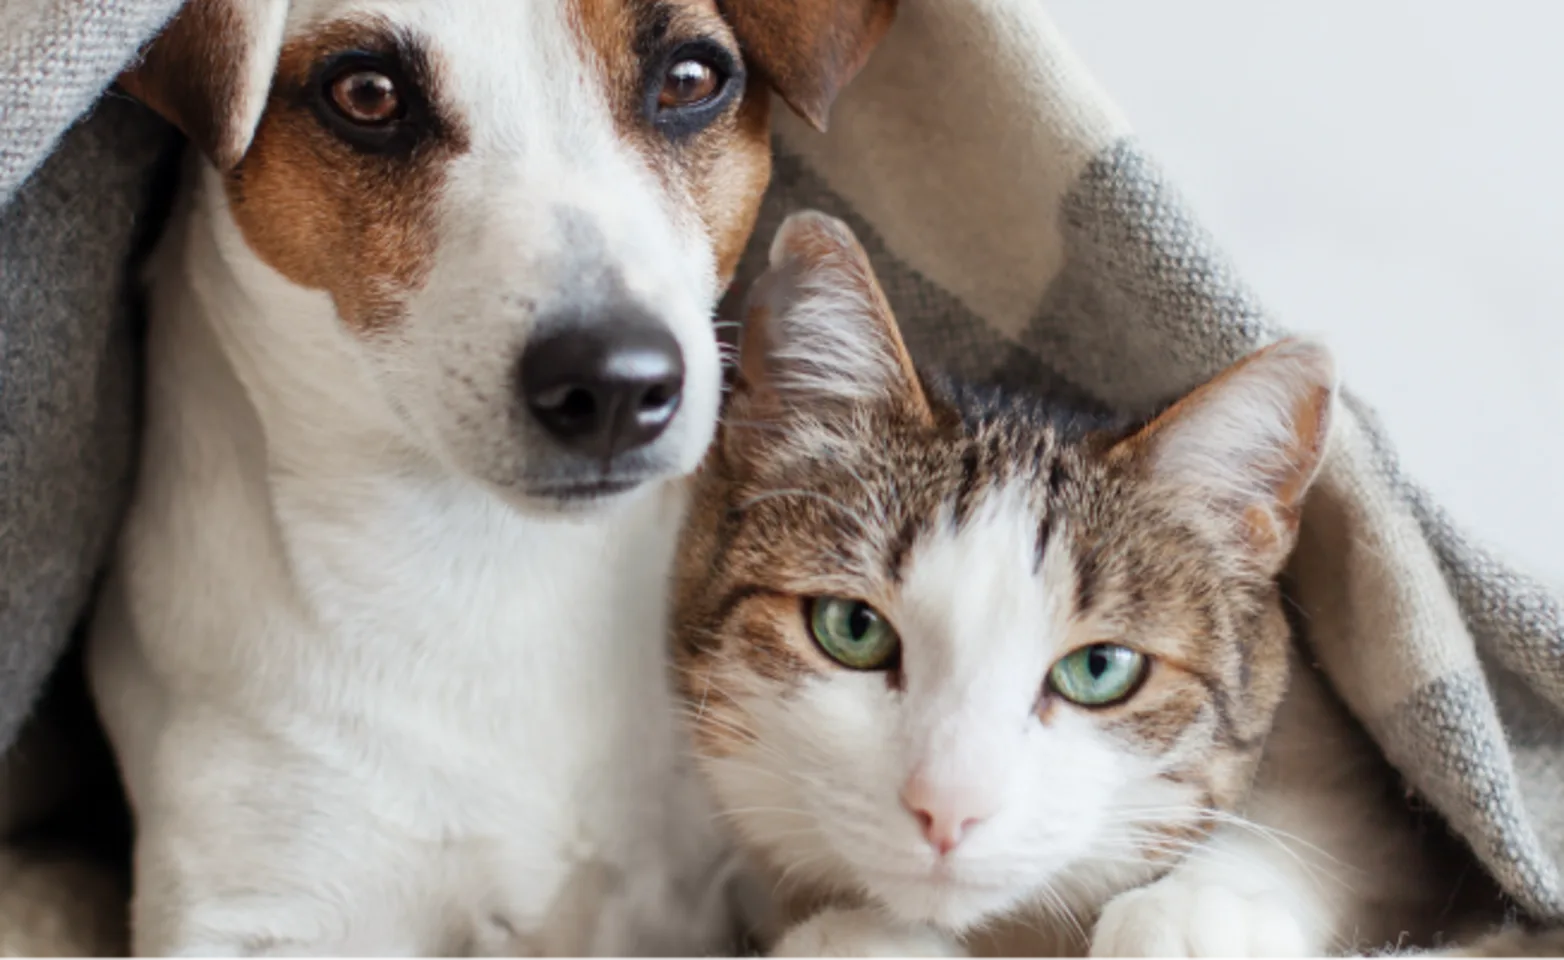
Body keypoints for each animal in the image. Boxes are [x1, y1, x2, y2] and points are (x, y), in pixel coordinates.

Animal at [669, 212, 1551, 960]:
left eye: (1100, 669)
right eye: (852, 628)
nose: (948, 808)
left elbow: (1338, 826)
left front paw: (1194, 914)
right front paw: (854, 936)